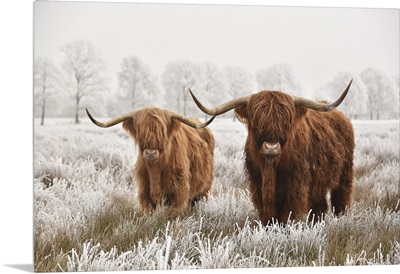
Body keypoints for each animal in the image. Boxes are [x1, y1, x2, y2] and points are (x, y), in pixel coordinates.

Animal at [85, 107, 214, 216]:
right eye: (140, 131)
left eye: (162, 131)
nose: (151, 153)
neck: (155, 169)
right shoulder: (145, 192)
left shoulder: (178, 193)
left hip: (205, 189)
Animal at [189, 79, 354, 225]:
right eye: (256, 121)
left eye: (286, 122)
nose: (271, 147)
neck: (271, 168)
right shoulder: (257, 185)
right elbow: (268, 216)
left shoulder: (296, 187)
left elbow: (288, 215)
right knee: (320, 206)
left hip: (345, 174)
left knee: (341, 200)